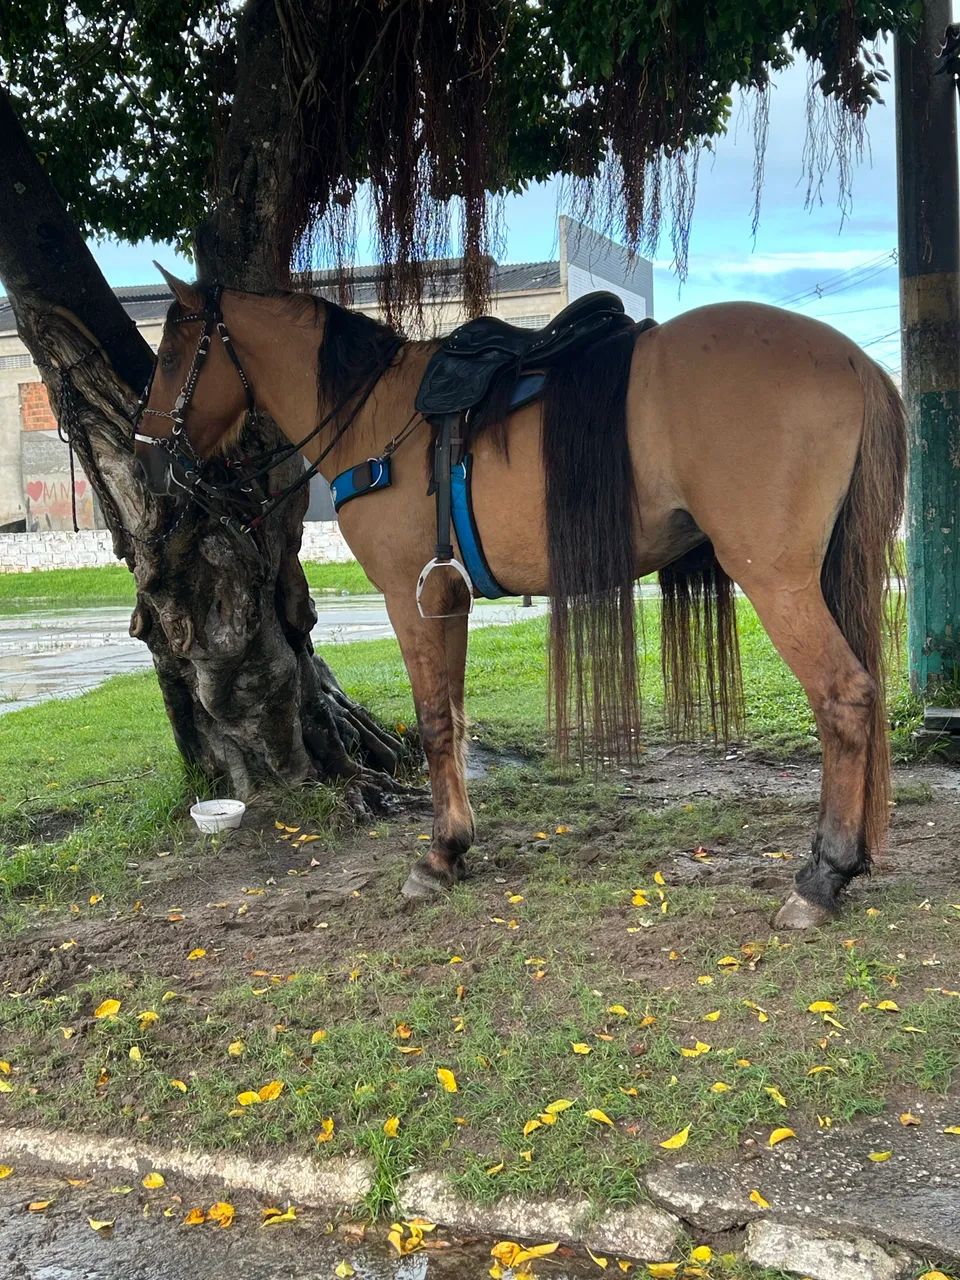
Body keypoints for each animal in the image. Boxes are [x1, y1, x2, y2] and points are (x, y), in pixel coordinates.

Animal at [135, 270, 906, 930]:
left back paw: (823, 876)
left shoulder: (409, 597)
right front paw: (456, 844)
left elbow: (433, 722)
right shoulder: (449, 597)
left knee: (845, 697)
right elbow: (451, 717)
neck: (378, 415)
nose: (145, 461)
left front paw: (437, 856)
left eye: (170, 354)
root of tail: (852, 361)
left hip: (776, 580)